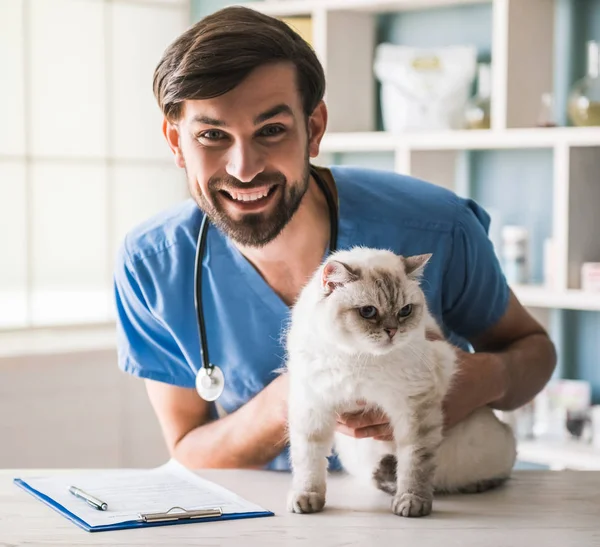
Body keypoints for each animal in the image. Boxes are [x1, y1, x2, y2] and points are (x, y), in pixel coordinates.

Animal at [284, 248, 516, 520]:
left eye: (405, 311)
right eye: (368, 311)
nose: (392, 331)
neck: (358, 357)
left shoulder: (414, 407)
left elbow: (415, 462)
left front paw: (412, 504)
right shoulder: (313, 404)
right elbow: (309, 461)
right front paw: (307, 499)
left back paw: (471, 486)